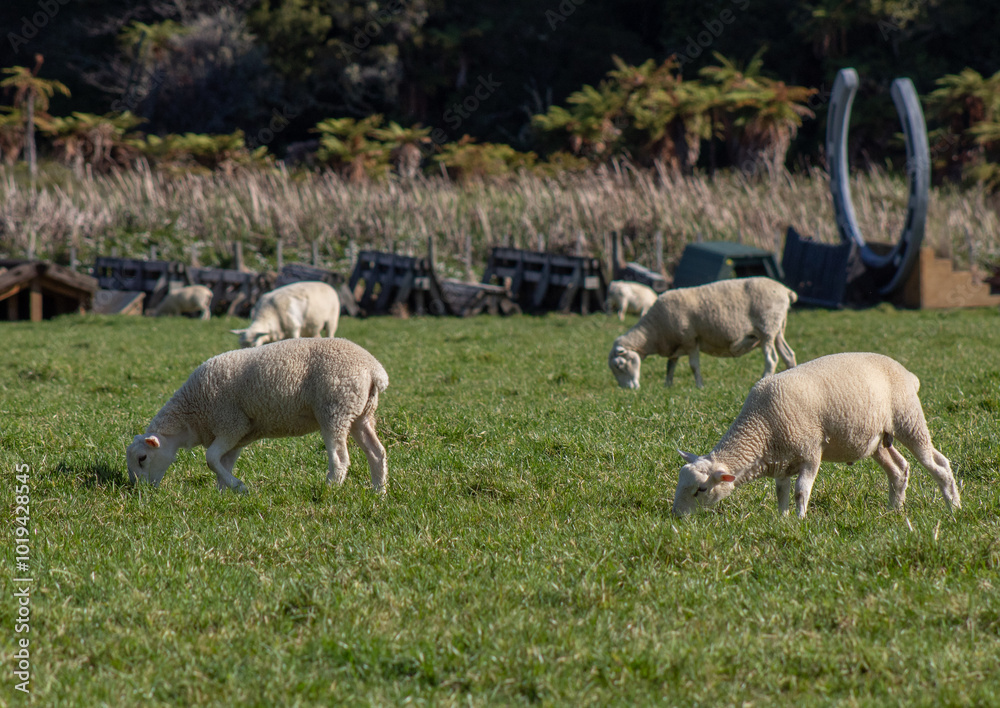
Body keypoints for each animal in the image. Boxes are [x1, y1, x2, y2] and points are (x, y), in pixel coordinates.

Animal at [126, 337, 389, 494]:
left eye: (142, 458)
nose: (140, 492)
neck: (190, 416)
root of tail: (374, 370)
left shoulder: (231, 424)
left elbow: (210, 459)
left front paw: (239, 487)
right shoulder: (238, 435)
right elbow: (221, 463)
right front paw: (223, 493)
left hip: (335, 409)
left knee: (340, 459)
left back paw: (329, 489)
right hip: (360, 414)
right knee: (377, 453)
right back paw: (379, 492)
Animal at [608, 277, 797, 389]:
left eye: (619, 365)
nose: (628, 389)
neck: (653, 332)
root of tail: (785, 290)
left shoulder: (691, 340)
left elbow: (693, 366)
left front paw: (700, 387)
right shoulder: (675, 345)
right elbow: (670, 366)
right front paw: (667, 387)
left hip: (767, 328)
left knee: (771, 359)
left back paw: (763, 378)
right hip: (778, 330)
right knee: (788, 354)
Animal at [672, 352, 962, 518]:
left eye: (701, 489)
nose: (676, 517)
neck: (761, 426)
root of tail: (909, 375)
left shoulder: (810, 452)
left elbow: (801, 491)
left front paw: (800, 521)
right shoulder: (782, 461)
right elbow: (781, 493)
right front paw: (782, 520)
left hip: (909, 420)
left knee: (938, 464)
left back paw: (954, 507)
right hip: (878, 440)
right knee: (900, 469)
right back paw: (894, 511)